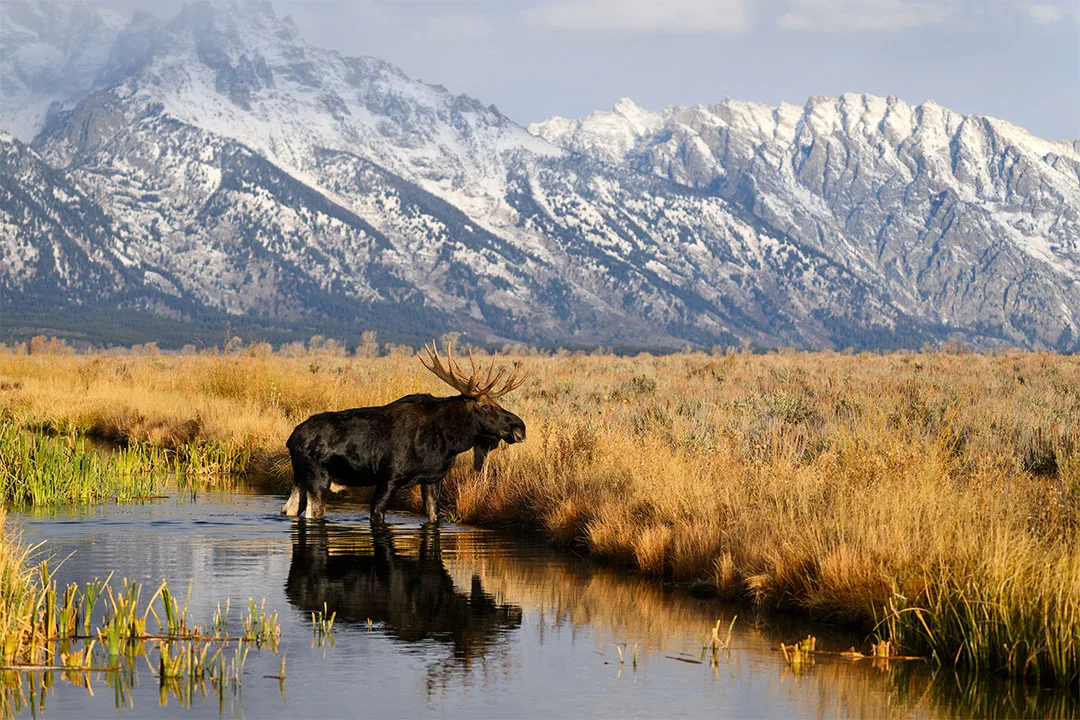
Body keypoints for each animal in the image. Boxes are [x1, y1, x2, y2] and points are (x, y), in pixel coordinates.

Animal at [282, 342, 526, 522]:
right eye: (485, 406)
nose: (520, 427)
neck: (447, 442)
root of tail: (291, 439)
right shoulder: (389, 478)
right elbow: (377, 514)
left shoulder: (433, 479)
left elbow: (434, 516)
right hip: (317, 477)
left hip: (299, 478)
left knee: (289, 510)